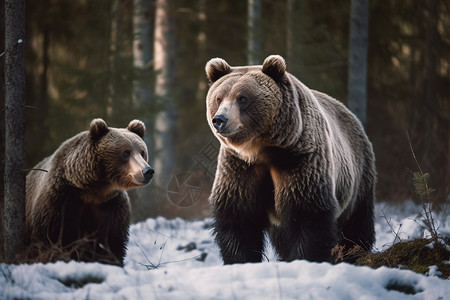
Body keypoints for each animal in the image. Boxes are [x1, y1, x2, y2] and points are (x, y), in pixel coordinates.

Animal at [25, 118, 154, 266]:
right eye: (126, 152)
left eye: (142, 152)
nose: (147, 171)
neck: (93, 190)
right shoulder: (59, 198)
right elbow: (51, 236)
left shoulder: (110, 205)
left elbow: (112, 239)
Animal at [206, 55, 374, 264]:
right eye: (219, 98)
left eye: (242, 98)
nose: (219, 119)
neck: (261, 150)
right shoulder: (239, 167)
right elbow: (238, 218)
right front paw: (241, 260)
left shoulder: (299, 159)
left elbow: (306, 213)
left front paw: (306, 258)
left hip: (358, 176)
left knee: (356, 224)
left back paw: (355, 253)